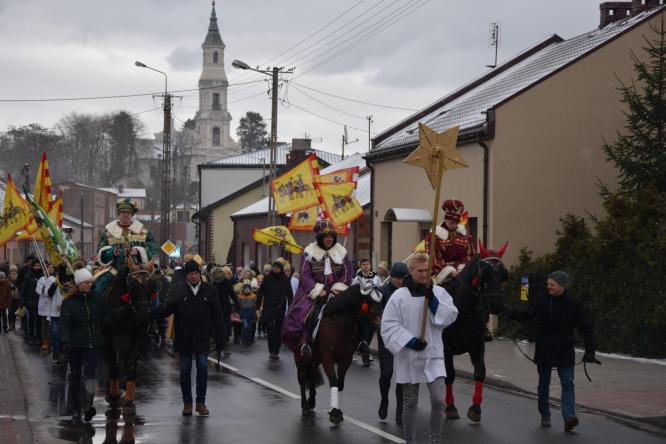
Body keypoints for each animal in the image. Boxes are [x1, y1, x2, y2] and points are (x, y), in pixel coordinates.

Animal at [101, 255, 156, 418]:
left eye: (152, 286)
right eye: (132, 286)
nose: (144, 316)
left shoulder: (138, 340)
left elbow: (131, 366)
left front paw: (129, 401)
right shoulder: (108, 341)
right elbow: (113, 367)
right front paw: (113, 395)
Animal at [294, 282, 382, 424]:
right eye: (369, 301)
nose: (381, 322)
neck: (341, 325)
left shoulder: (345, 358)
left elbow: (340, 384)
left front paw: (337, 410)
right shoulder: (327, 358)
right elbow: (334, 382)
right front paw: (334, 413)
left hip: (314, 359)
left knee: (311, 375)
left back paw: (312, 401)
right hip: (300, 358)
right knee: (302, 379)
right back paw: (305, 405)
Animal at [438, 243, 506, 424]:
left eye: (503, 275)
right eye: (484, 274)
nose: (496, 305)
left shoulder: (477, 345)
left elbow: (480, 372)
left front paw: (475, 408)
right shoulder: (446, 348)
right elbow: (450, 374)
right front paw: (451, 407)